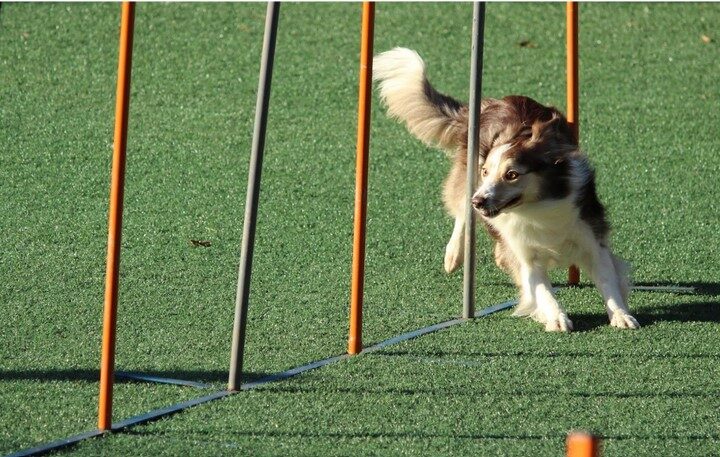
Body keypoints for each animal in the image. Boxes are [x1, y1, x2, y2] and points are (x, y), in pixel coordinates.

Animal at [374, 47, 640, 332]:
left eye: (512, 175)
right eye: (486, 172)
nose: (479, 201)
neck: (537, 207)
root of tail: (490, 103)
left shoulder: (591, 236)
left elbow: (608, 279)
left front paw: (621, 314)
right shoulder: (524, 253)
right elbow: (542, 290)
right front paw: (556, 317)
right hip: (466, 176)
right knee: (460, 210)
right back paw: (454, 254)